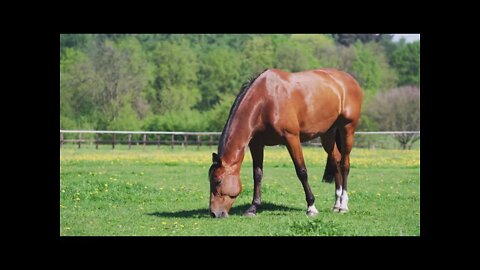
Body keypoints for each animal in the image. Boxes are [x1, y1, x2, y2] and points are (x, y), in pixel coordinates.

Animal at [208, 67, 362, 217]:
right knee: (336, 162)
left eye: (218, 180)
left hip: (347, 128)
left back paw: (343, 205)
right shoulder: (256, 144)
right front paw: (253, 208)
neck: (265, 101)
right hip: (328, 134)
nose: (214, 213)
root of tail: (349, 80)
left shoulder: (291, 138)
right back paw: (336, 205)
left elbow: (301, 171)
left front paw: (311, 207)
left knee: (344, 164)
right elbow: (257, 174)